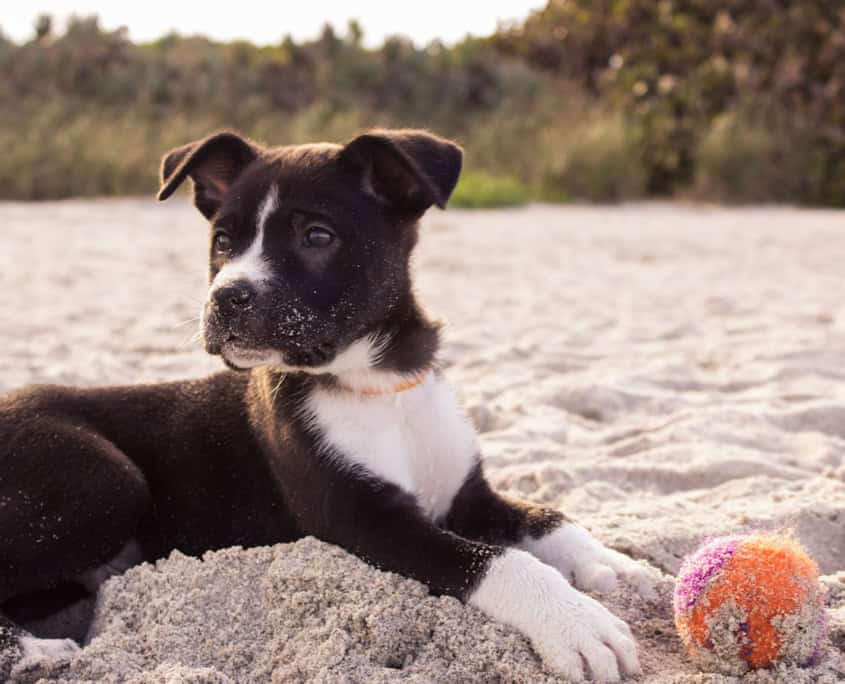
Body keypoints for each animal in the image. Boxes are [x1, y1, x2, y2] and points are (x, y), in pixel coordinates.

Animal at [0, 131, 656, 680]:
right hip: (107, 481)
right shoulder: (364, 520)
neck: (376, 384)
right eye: (222, 242)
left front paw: (614, 565)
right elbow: (497, 561)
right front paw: (576, 622)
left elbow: (548, 517)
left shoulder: (468, 494)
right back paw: (34, 650)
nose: (226, 297)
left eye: (317, 236)